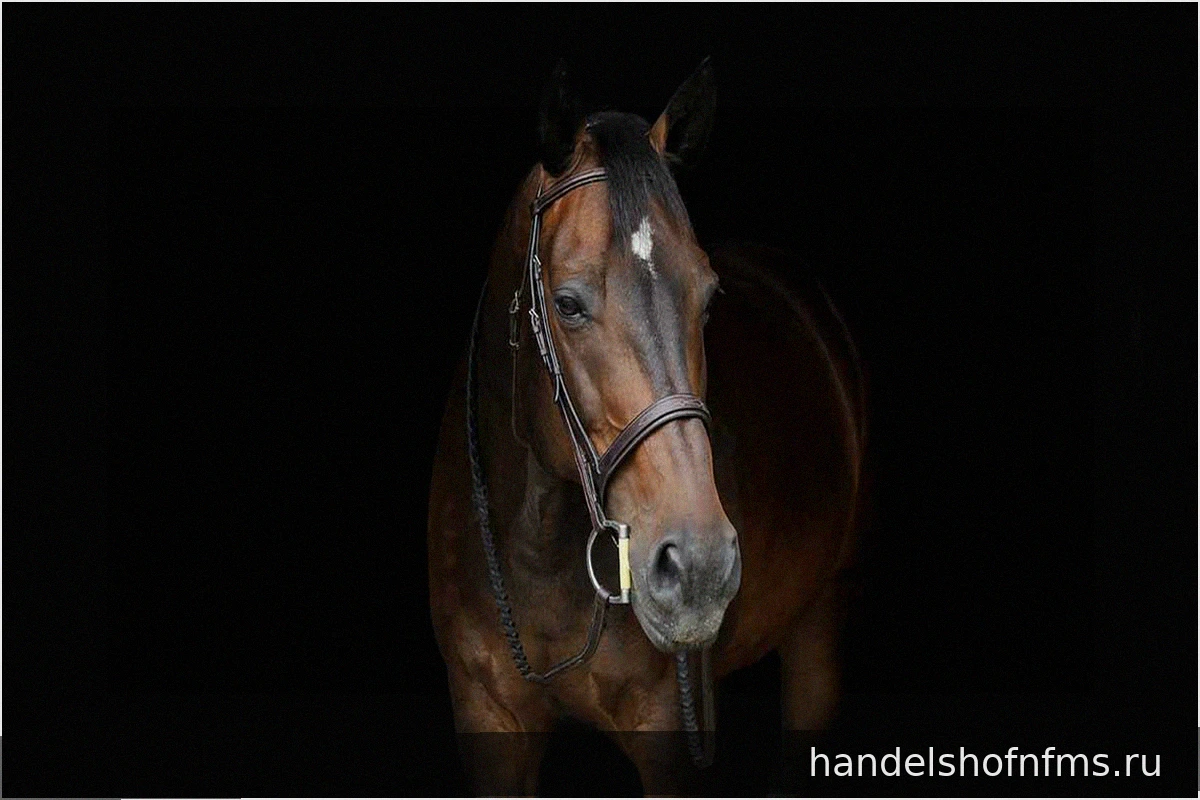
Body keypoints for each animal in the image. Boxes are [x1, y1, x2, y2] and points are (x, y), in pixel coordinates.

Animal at [427, 59, 866, 795]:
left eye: (710, 298)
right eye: (568, 303)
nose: (701, 566)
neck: (535, 546)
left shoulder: (667, 740)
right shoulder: (488, 726)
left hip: (821, 625)